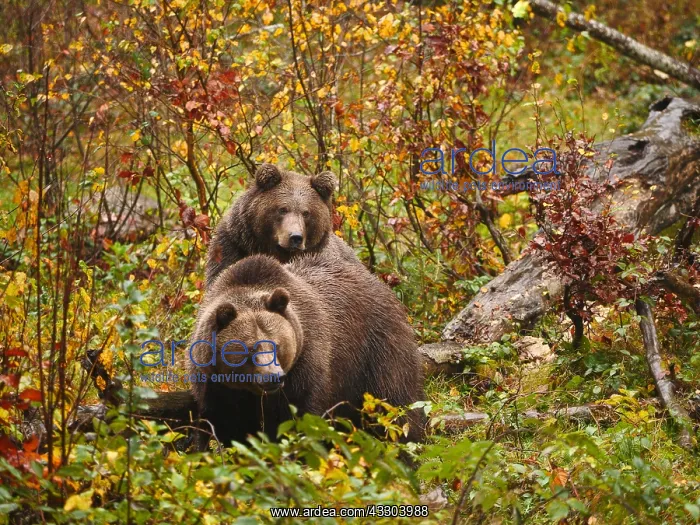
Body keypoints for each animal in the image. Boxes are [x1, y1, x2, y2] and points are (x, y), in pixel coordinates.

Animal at [188, 253, 425, 449]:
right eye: (249, 349)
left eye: (277, 345)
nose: (273, 377)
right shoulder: (216, 384)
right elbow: (227, 425)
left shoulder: (305, 362)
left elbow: (298, 418)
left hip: (377, 348)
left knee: (395, 404)